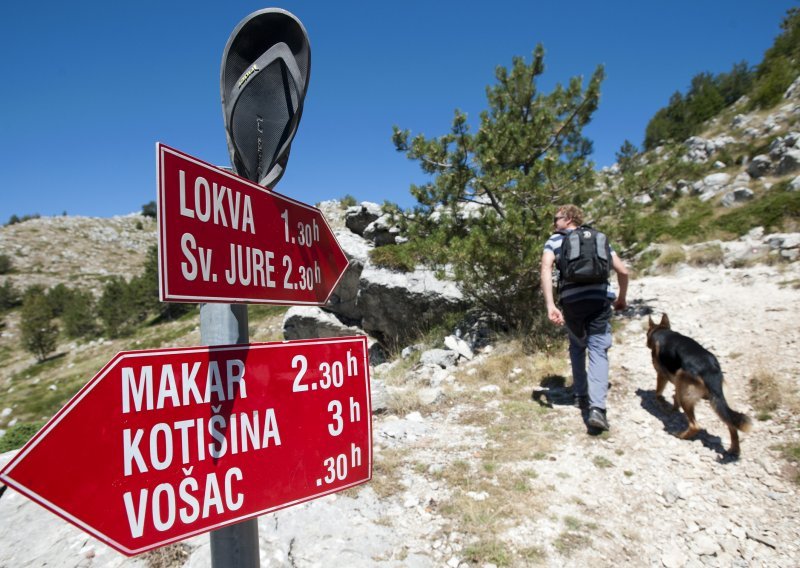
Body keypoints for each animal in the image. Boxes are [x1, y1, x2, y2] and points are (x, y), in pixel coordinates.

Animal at [644, 312, 752, 454]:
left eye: (646, 334)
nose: (645, 343)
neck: (662, 332)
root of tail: (710, 370)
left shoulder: (662, 375)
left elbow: (658, 393)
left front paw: (662, 404)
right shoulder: (677, 384)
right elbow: (675, 397)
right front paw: (673, 407)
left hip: (686, 392)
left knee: (695, 426)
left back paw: (680, 435)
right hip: (720, 402)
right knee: (732, 425)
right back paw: (734, 449)